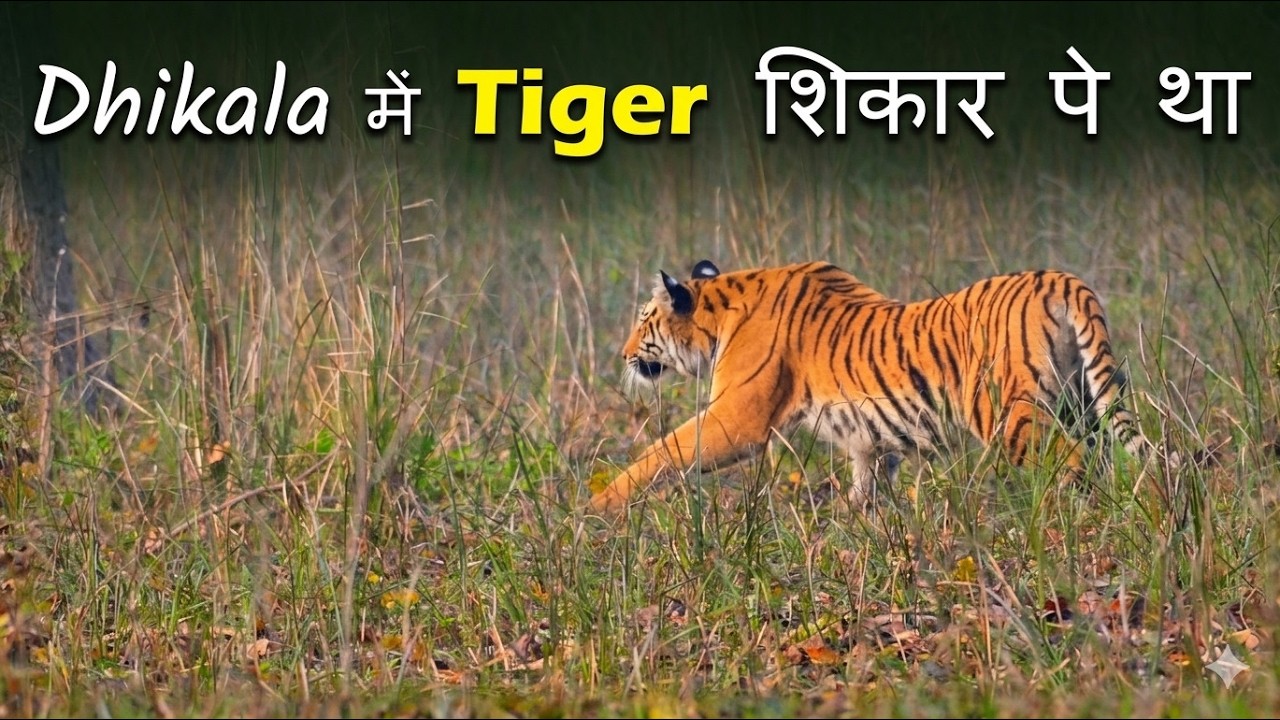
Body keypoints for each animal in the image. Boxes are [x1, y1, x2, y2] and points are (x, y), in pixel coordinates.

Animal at [587, 259, 1148, 514]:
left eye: (644, 319)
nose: (622, 354)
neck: (719, 314)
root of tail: (1058, 278)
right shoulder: (870, 434)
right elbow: (866, 479)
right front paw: (851, 520)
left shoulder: (736, 418)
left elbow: (664, 450)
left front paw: (602, 503)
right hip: (1079, 400)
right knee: (1099, 454)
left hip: (1007, 412)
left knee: (1069, 462)